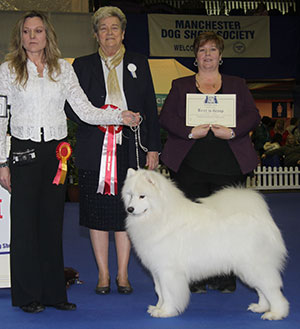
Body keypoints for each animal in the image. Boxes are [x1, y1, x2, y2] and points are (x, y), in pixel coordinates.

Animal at [121, 168, 288, 320]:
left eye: (142, 196)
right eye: (130, 195)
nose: (130, 209)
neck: (160, 217)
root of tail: (262, 217)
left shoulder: (168, 271)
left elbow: (168, 293)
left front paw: (166, 311)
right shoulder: (156, 270)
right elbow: (159, 291)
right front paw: (158, 308)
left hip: (255, 267)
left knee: (272, 290)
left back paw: (276, 313)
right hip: (247, 270)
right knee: (262, 290)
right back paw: (261, 307)